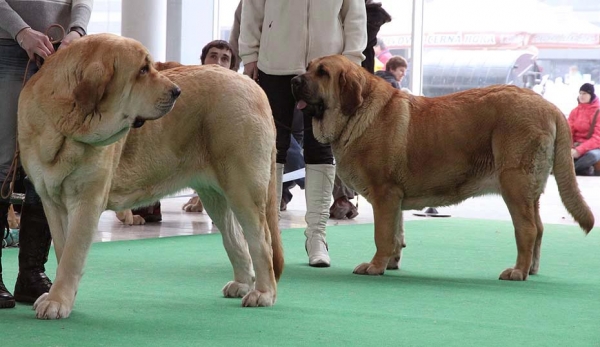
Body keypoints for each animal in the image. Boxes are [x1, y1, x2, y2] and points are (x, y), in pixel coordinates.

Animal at [17, 34, 284, 320]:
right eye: (143, 70)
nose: (177, 91)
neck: (64, 124)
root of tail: (252, 85)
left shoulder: (87, 199)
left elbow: (71, 255)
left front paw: (57, 301)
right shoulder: (51, 202)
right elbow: (62, 249)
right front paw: (60, 297)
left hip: (242, 189)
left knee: (261, 241)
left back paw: (263, 293)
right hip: (216, 196)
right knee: (235, 237)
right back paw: (242, 283)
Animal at [292, 55, 596, 282]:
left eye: (322, 73)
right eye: (308, 67)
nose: (294, 80)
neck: (357, 111)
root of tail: (550, 106)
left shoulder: (384, 194)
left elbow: (382, 235)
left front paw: (375, 266)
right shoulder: (394, 198)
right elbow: (396, 233)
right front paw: (391, 262)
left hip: (515, 184)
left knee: (528, 229)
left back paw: (518, 271)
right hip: (530, 190)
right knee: (540, 228)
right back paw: (531, 268)